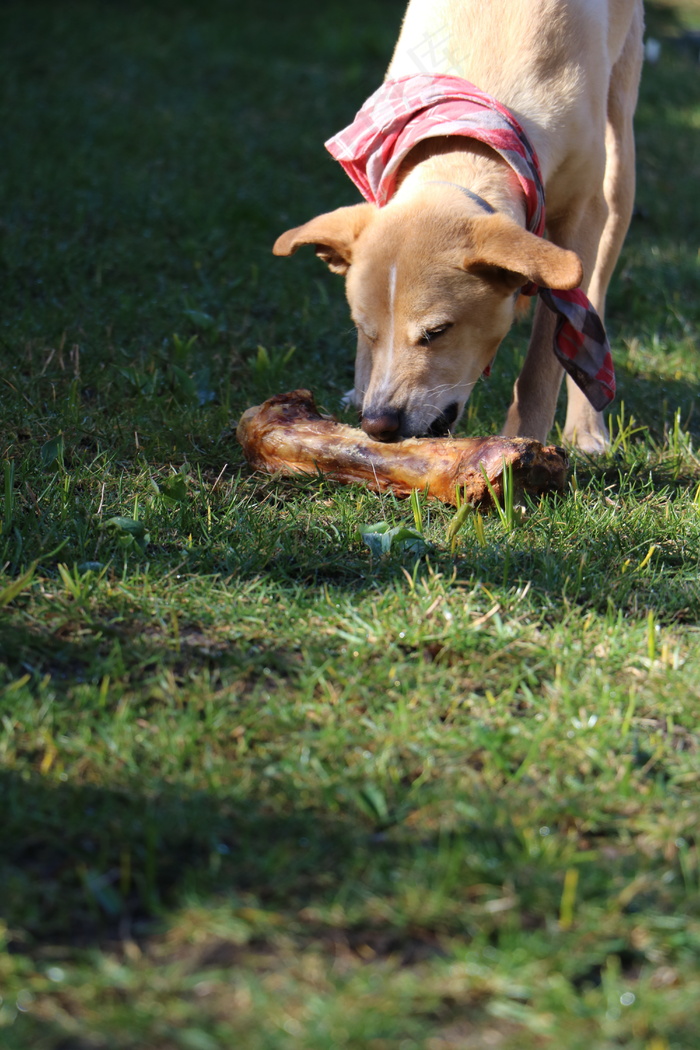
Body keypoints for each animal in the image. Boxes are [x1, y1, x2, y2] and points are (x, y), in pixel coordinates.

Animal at [270, 1, 642, 451]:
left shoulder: (581, 215)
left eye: (437, 331)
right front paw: (359, 389)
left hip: (618, 169)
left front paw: (523, 444)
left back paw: (586, 428)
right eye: (363, 329)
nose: (377, 424)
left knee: (595, 299)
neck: (470, 145)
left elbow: (543, 362)